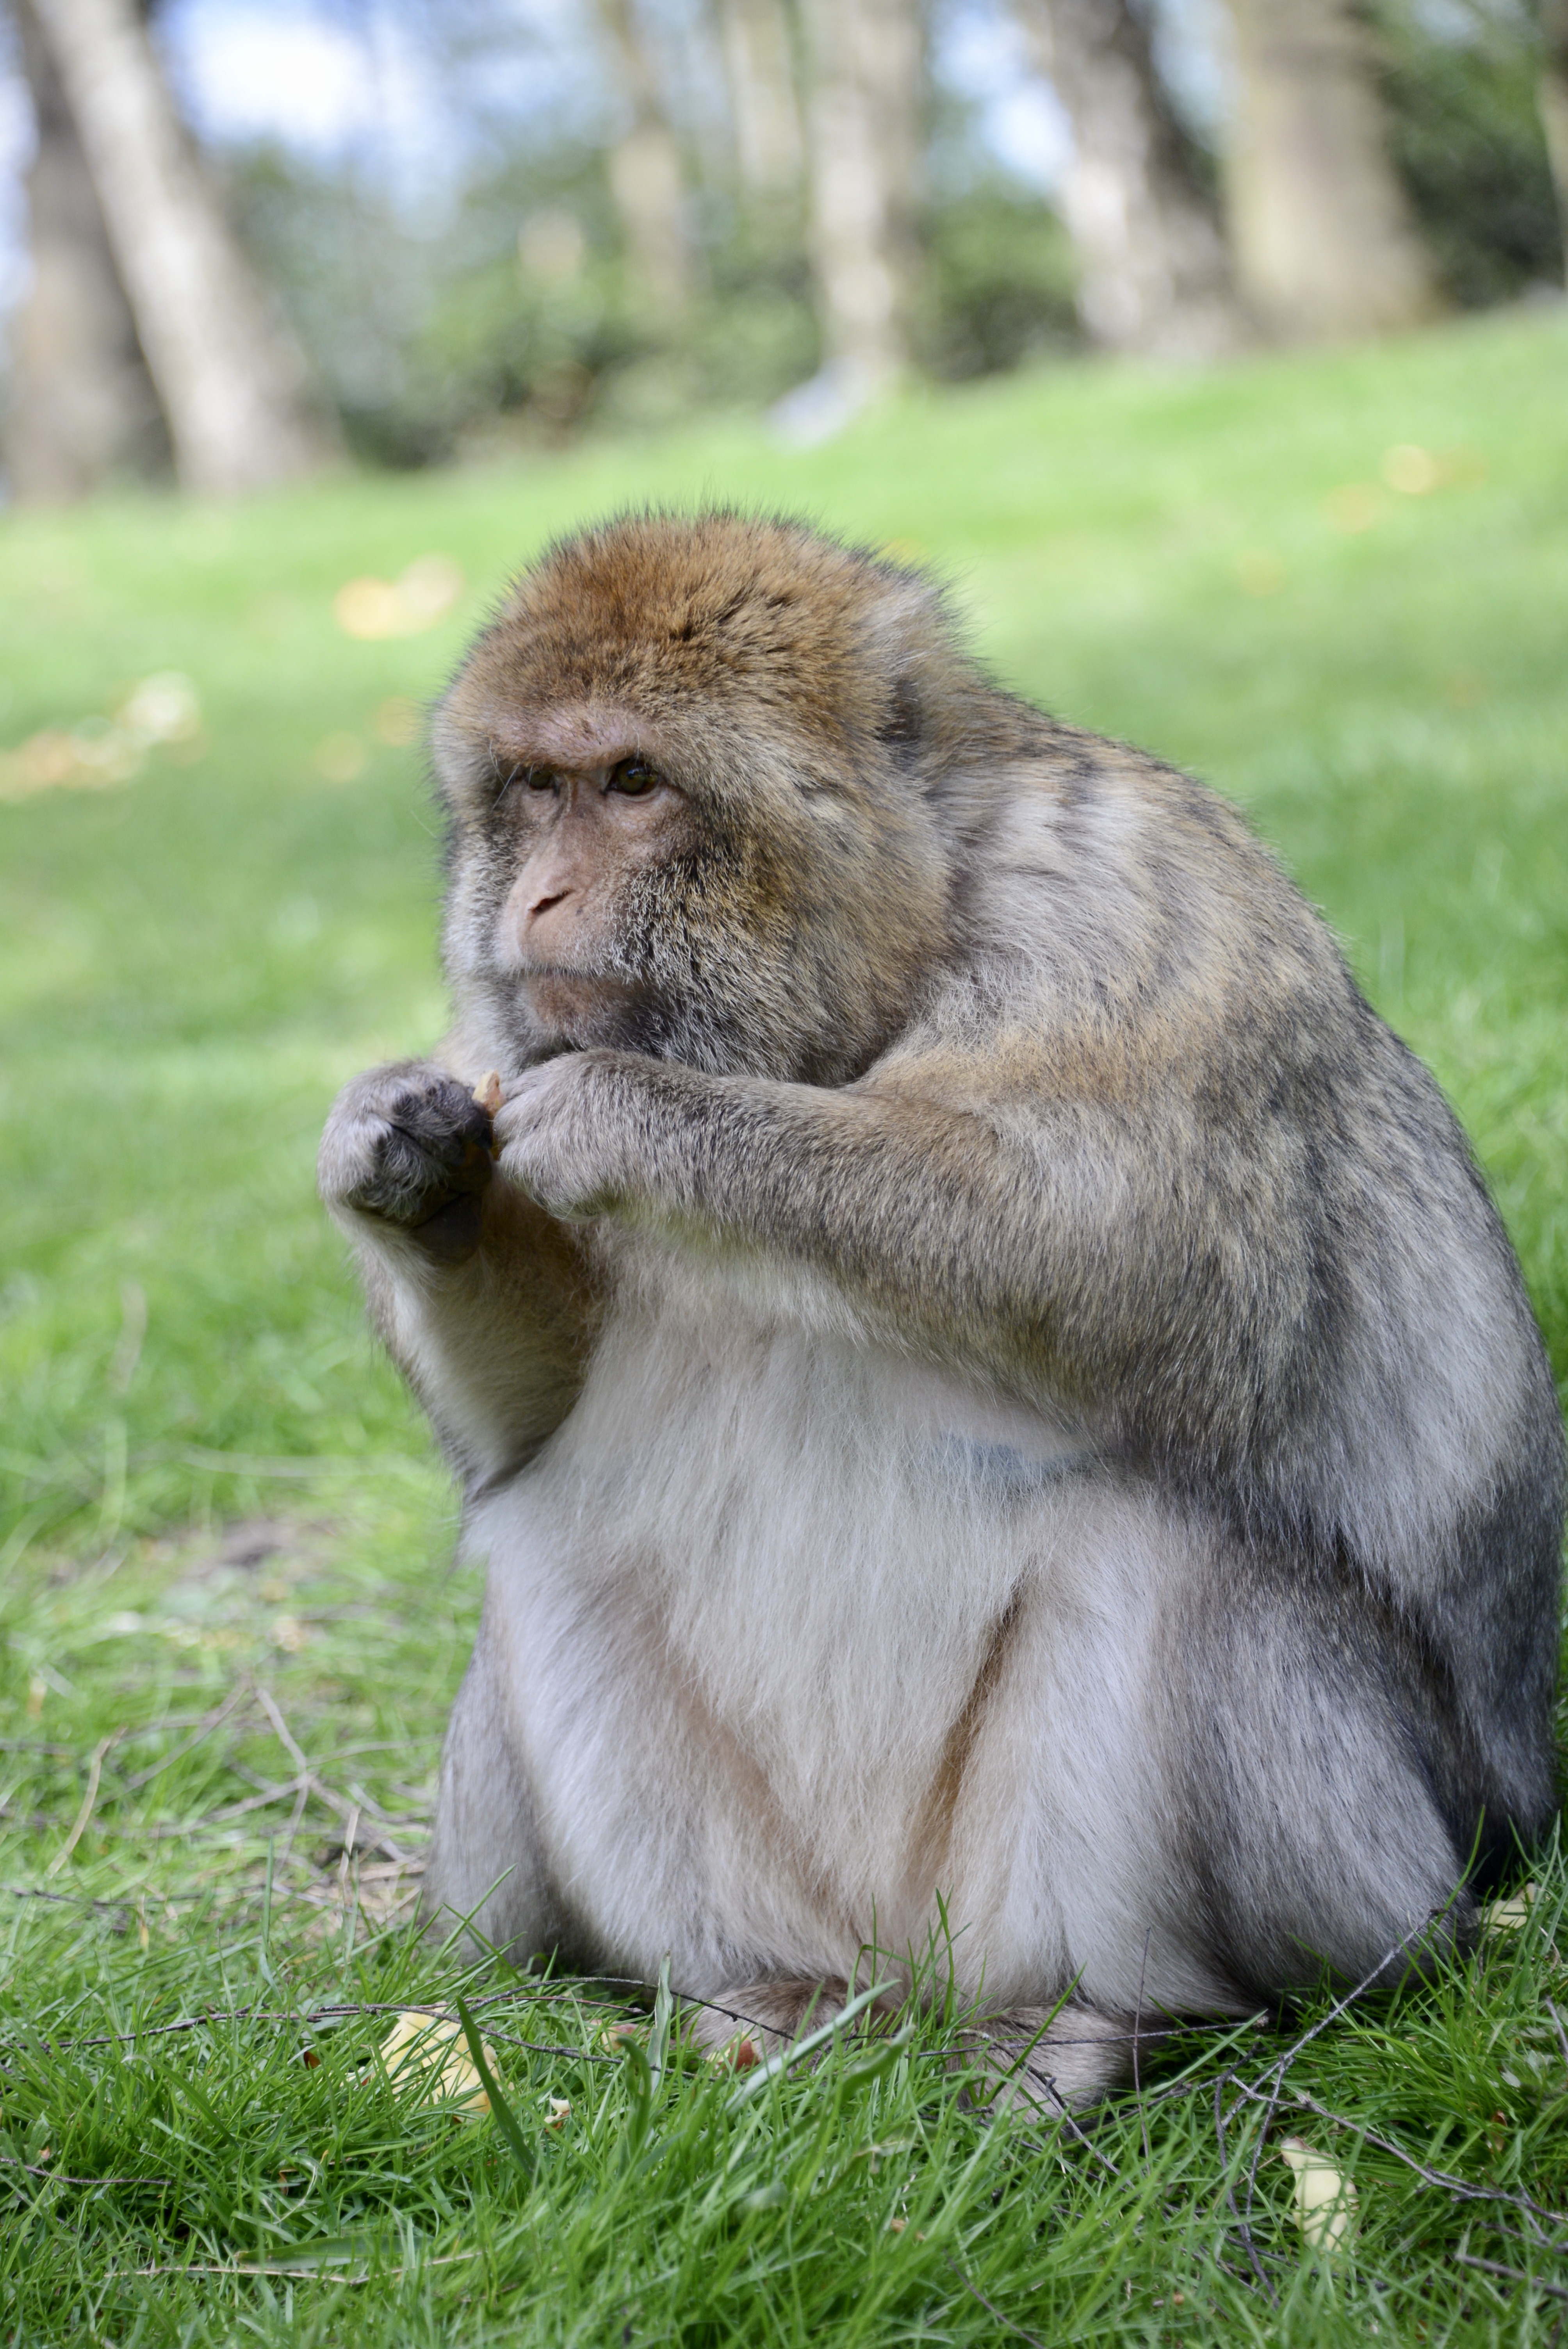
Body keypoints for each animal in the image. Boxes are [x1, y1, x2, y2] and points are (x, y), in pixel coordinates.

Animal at [314, 514, 1558, 2114]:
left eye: (631, 782)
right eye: (531, 790)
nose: (533, 900)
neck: (873, 987)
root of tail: (906, 1979)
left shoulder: (1138, 904)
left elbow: (1127, 1254)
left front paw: (631, 1116)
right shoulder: (509, 1026)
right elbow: (529, 1422)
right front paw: (399, 1159)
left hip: (1373, 1880)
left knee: (1171, 1554)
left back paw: (1102, 2024)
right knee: (551, 1538)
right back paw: (758, 1996)